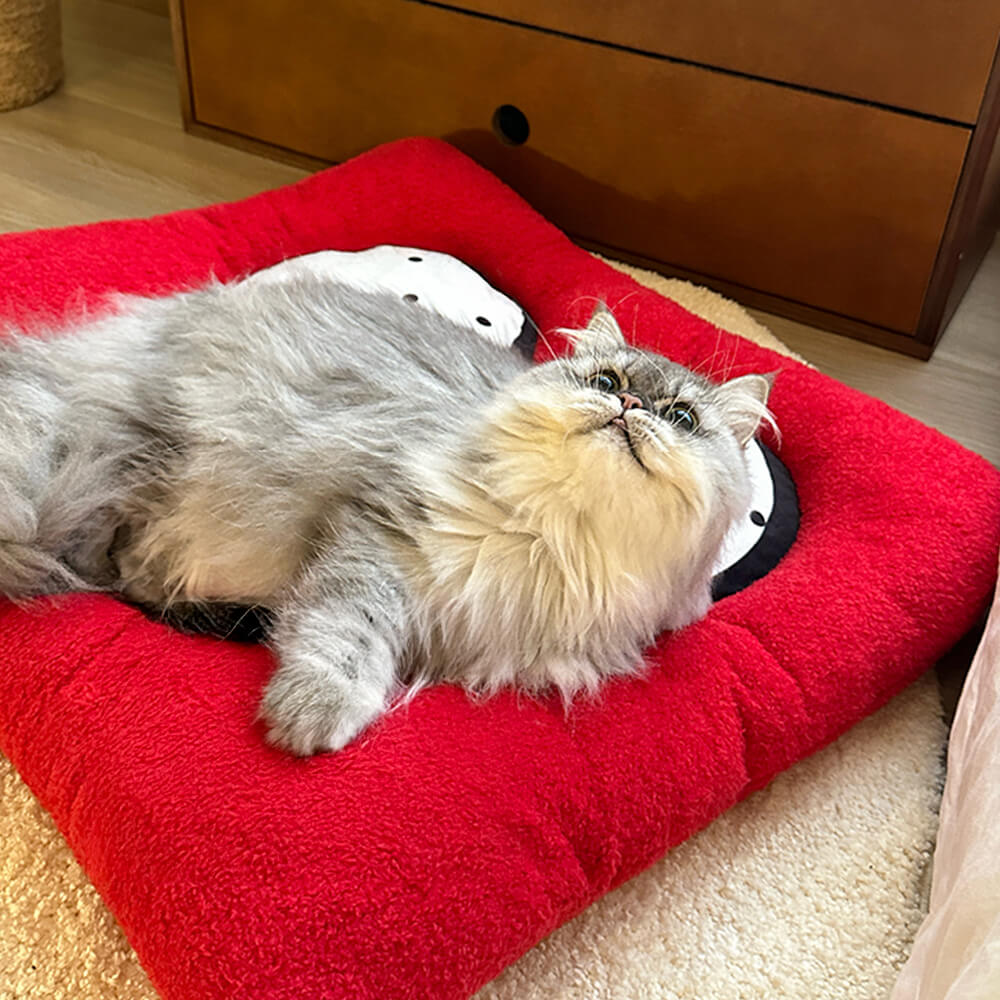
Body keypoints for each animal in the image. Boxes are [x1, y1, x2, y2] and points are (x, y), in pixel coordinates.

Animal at [0, 262, 772, 752]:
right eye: (605, 380)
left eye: (681, 418)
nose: (631, 406)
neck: (556, 537)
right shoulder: (375, 531)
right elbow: (344, 636)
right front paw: (312, 714)